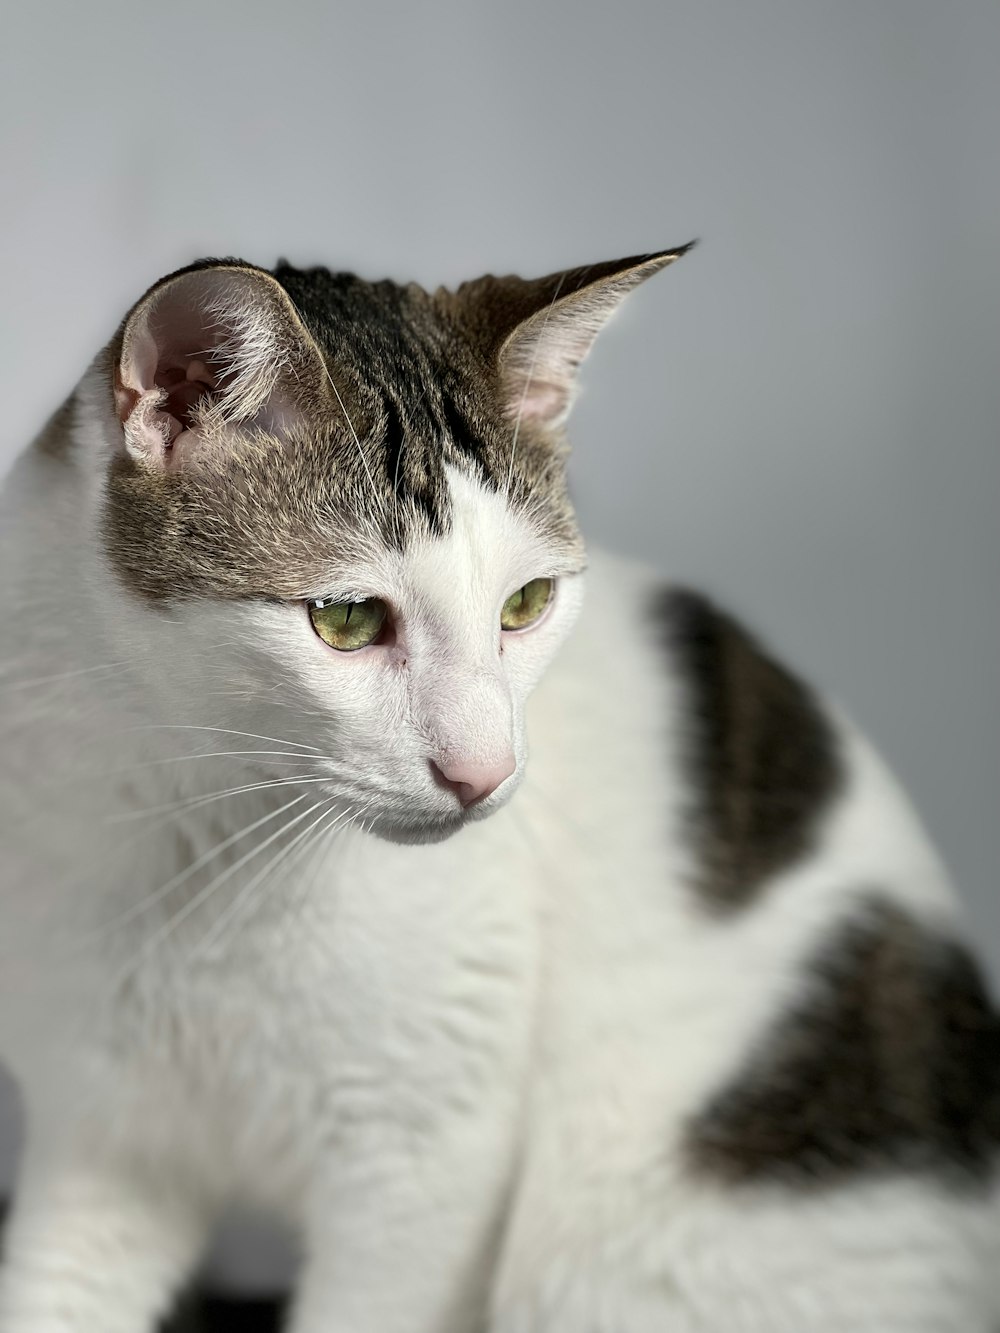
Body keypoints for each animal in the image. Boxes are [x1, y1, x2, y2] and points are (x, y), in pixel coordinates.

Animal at [0, 251, 997, 1333]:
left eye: (526, 605)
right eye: (347, 619)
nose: (482, 772)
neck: (201, 833)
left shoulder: (422, 1165)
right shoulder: (108, 1145)